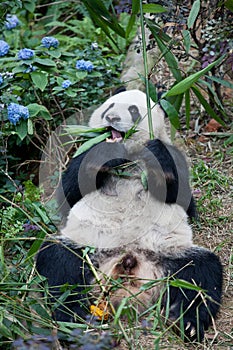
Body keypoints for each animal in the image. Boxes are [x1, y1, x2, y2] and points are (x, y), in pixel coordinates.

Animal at [36, 89, 222, 342]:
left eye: (133, 111)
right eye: (109, 106)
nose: (112, 118)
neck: (129, 159)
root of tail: (128, 261)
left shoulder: (175, 157)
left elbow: (186, 203)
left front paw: (157, 155)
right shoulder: (83, 154)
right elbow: (67, 195)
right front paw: (106, 151)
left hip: (172, 254)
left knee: (201, 275)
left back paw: (186, 323)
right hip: (87, 249)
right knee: (59, 264)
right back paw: (75, 319)